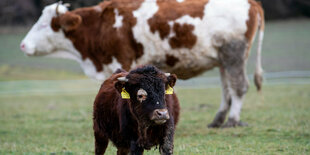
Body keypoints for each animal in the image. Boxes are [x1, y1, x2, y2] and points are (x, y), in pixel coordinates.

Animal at [20, 0, 266, 128]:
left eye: (44, 25)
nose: (22, 45)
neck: (102, 25)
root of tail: (250, 2)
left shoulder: (121, 61)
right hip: (223, 60)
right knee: (227, 89)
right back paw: (217, 120)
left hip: (234, 55)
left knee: (239, 87)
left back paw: (232, 120)